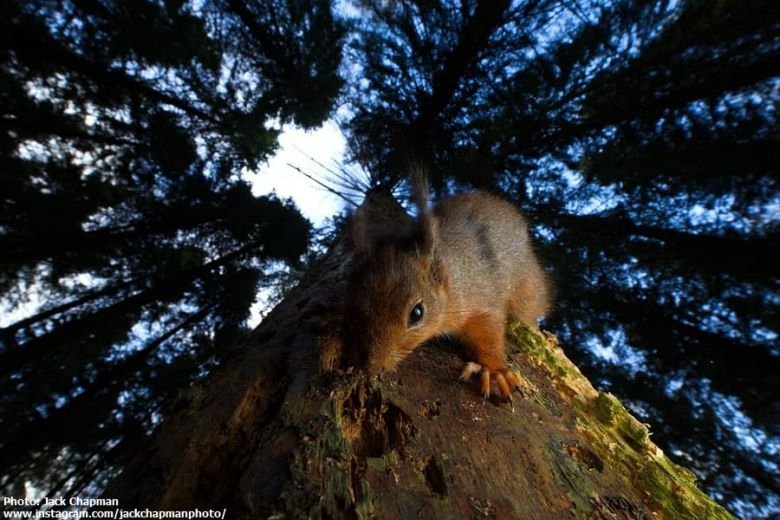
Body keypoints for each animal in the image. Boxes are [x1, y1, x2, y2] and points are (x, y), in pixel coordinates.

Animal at [342, 177, 548, 404]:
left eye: (417, 313)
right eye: (356, 309)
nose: (372, 367)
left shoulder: (481, 302)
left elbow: (490, 334)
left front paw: (494, 371)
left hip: (528, 289)